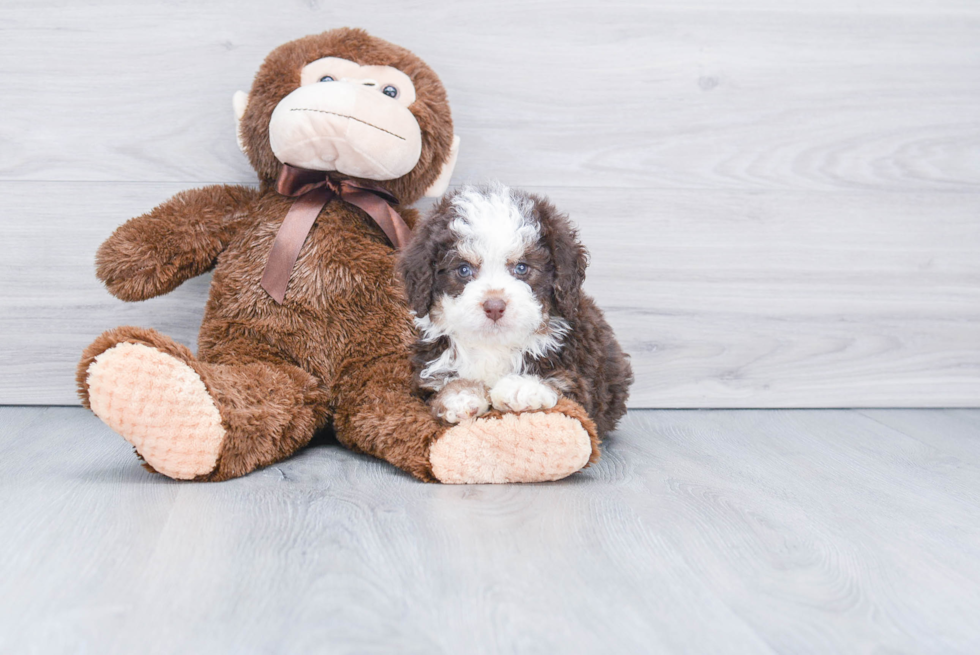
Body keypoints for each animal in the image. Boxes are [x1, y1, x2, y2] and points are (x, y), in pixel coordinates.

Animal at [400, 183, 636, 440]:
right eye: (463, 270)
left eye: (522, 268)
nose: (494, 306)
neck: (494, 345)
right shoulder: (427, 373)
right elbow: (441, 385)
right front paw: (459, 395)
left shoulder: (580, 376)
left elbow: (561, 379)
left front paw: (522, 386)